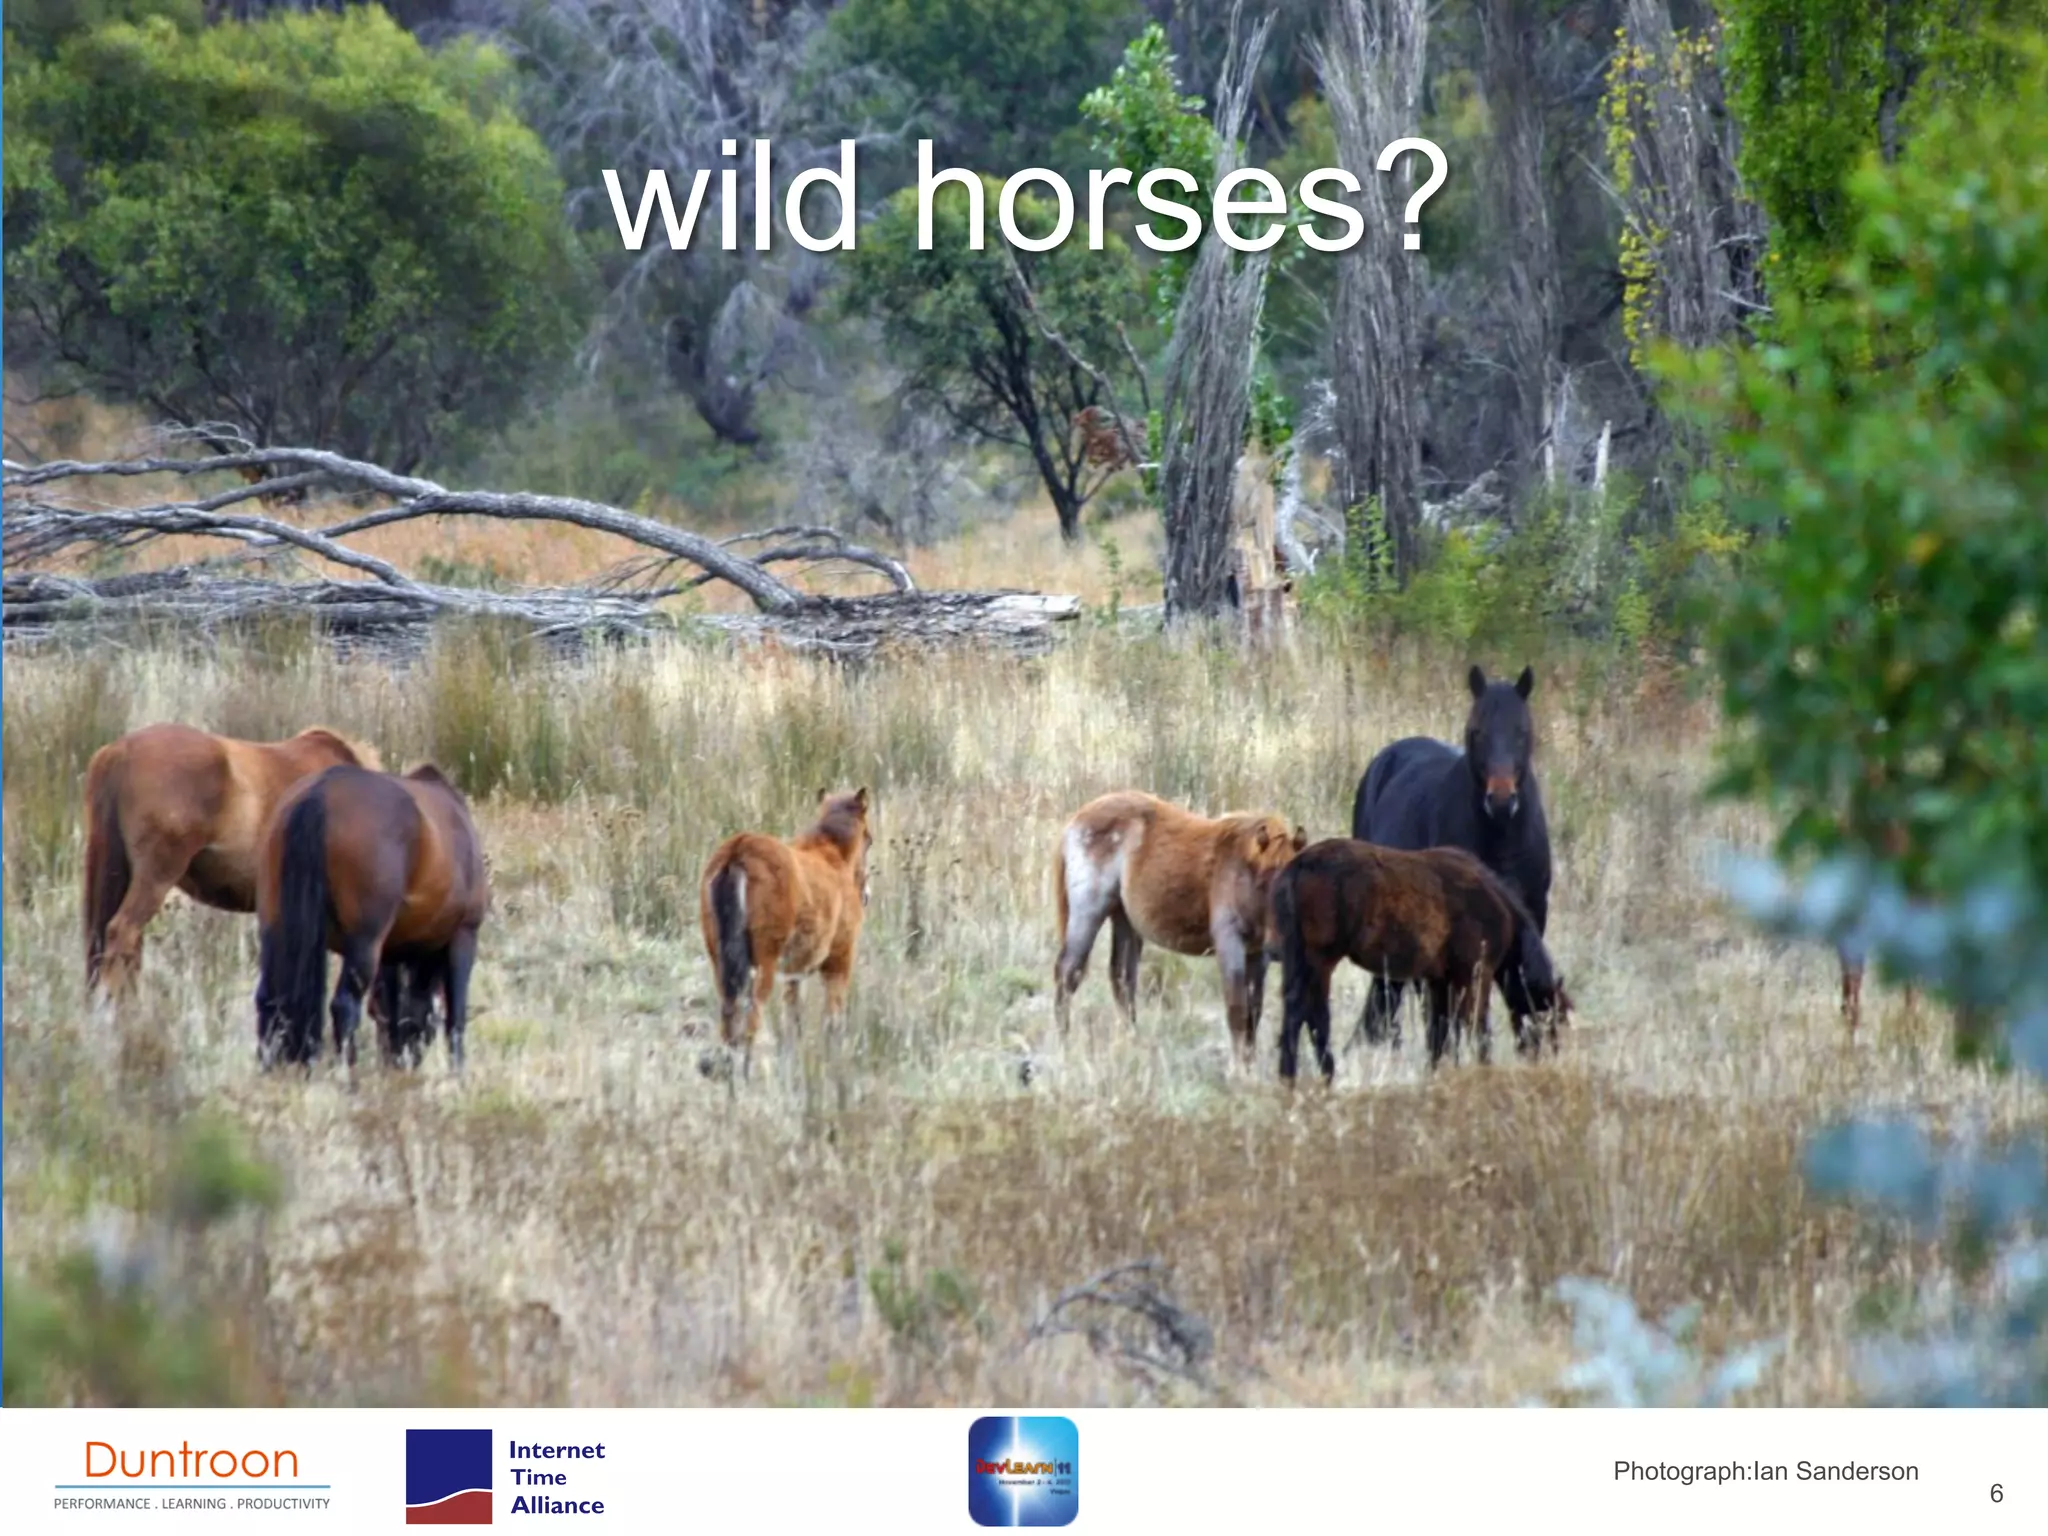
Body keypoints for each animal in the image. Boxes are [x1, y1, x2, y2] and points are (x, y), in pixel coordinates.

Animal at [253, 762, 489, 1073]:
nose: (407, 1060)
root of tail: (319, 794)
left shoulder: (392, 951)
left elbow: (388, 1007)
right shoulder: (464, 935)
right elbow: (455, 1018)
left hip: (275, 929)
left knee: (268, 999)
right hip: (364, 942)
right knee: (344, 1005)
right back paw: (348, 1071)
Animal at [698, 788, 874, 1077]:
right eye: (869, 839)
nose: (866, 894)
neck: (832, 854)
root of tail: (739, 848)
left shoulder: (795, 972)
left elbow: (793, 1018)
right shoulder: (840, 959)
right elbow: (833, 1019)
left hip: (720, 963)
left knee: (729, 1019)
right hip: (762, 966)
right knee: (751, 1020)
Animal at [1053, 791, 1307, 1068]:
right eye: (1263, 885)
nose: (1280, 947)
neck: (1241, 869)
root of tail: (1076, 820)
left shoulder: (1257, 955)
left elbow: (1253, 1013)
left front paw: (1248, 1065)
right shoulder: (1230, 944)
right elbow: (1237, 1011)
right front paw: (1238, 1069)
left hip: (1124, 919)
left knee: (1122, 980)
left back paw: (1133, 1044)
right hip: (1087, 914)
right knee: (1068, 974)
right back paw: (1064, 1044)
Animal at [1268, 839, 1566, 1084]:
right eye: (1552, 1020)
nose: (1546, 1066)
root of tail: (1299, 865)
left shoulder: (1440, 981)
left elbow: (1440, 1032)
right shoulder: (1474, 976)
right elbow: (1477, 1028)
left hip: (1300, 961)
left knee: (1297, 1011)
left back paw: (1290, 1076)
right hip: (1321, 961)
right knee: (1314, 1015)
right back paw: (1324, 1073)